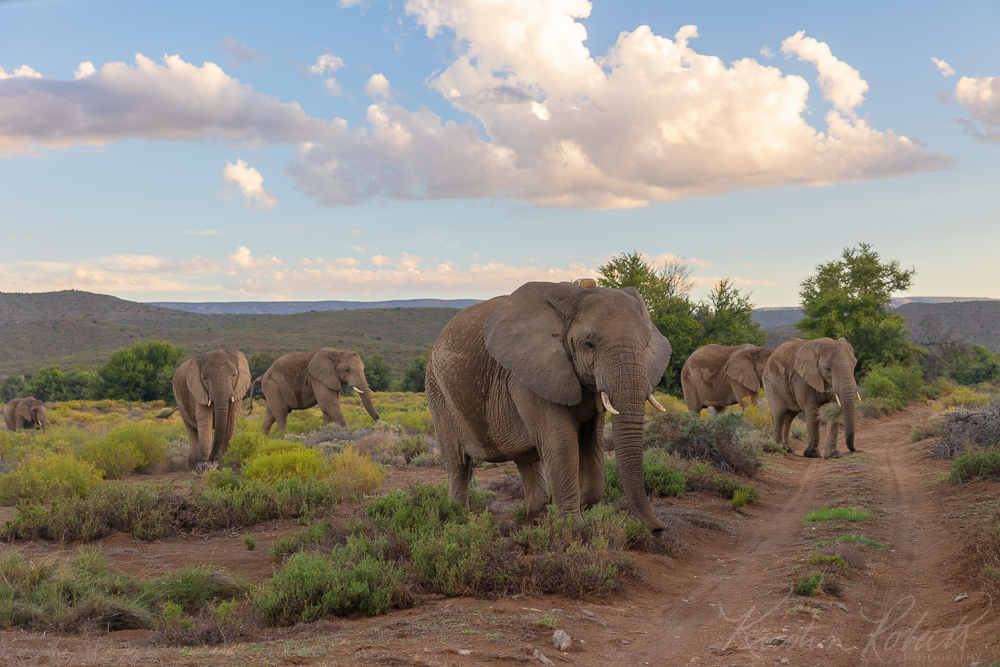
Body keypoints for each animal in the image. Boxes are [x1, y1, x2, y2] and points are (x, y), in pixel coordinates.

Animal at [426, 280, 673, 534]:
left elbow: (592, 443)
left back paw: (535, 521)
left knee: (527, 460)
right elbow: (560, 441)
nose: (659, 529)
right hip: (437, 389)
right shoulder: (529, 373)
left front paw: (575, 514)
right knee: (457, 462)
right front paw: (572, 528)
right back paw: (458, 519)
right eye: (589, 344)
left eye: (646, 344)